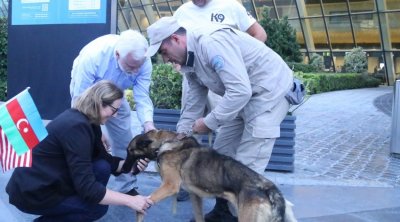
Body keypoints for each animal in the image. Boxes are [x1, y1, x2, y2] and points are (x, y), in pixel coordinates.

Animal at [122, 130, 296, 222]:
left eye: (130, 151)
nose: (122, 169)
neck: (165, 143)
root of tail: (269, 188)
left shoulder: (169, 186)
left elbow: (145, 204)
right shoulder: (195, 196)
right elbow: (199, 216)